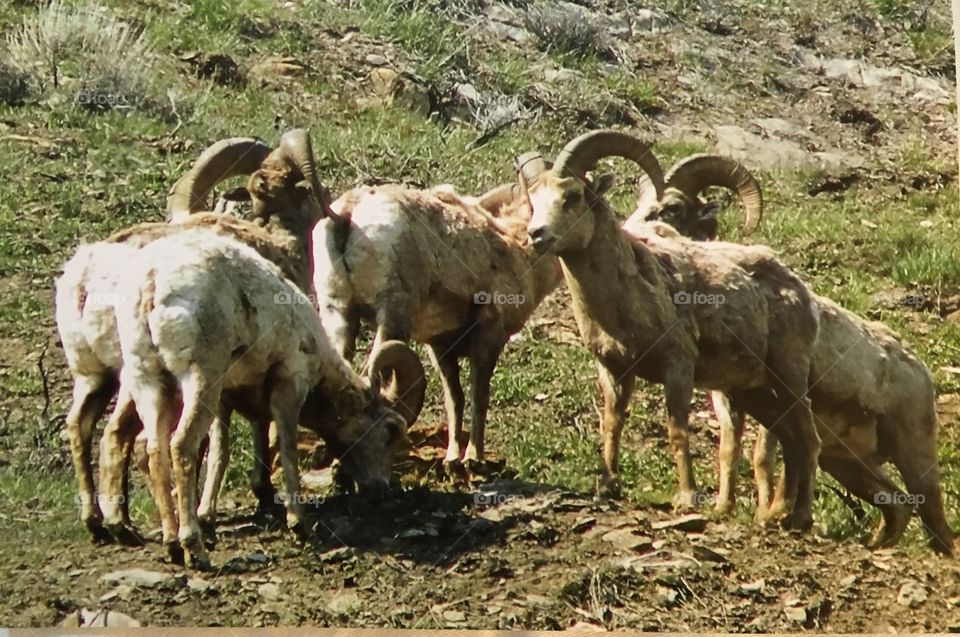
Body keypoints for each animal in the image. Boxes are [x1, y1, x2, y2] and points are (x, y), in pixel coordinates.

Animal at [520, 128, 820, 528]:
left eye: (572, 196)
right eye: (533, 199)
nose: (536, 234)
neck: (621, 301)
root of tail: (799, 291)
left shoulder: (677, 366)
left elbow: (677, 431)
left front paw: (686, 497)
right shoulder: (614, 369)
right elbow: (612, 424)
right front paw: (608, 487)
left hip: (788, 376)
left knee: (808, 439)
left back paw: (800, 517)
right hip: (753, 392)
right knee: (787, 439)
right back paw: (774, 514)